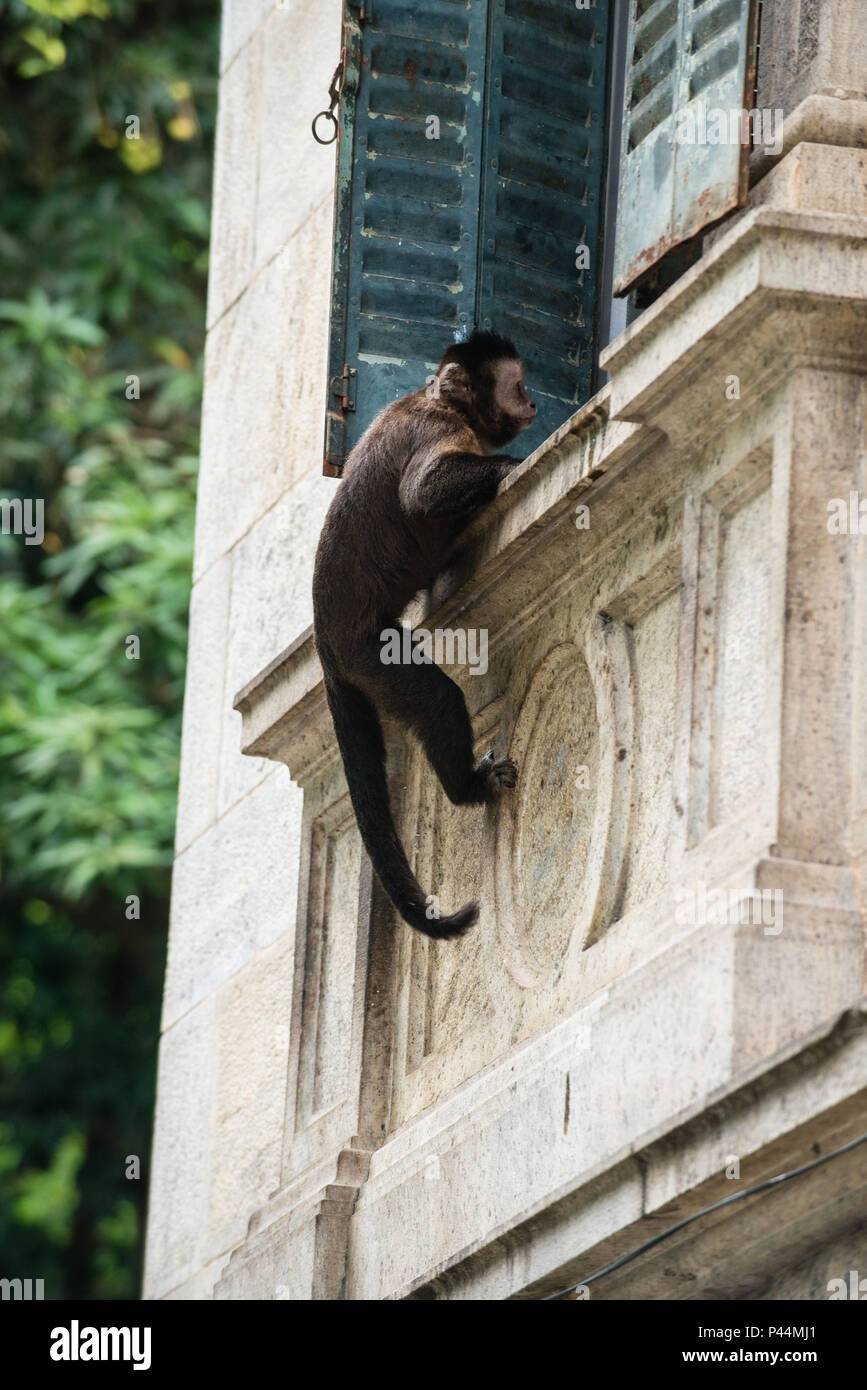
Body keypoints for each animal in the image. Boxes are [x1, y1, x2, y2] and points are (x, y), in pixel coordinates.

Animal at [315, 330, 536, 939]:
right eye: (519, 386)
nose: (535, 404)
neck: (438, 399)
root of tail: (324, 637)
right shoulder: (438, 427)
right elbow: (424, 494)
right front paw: (511, 465)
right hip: (367, 654)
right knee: (436, 699)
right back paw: (466, 789)